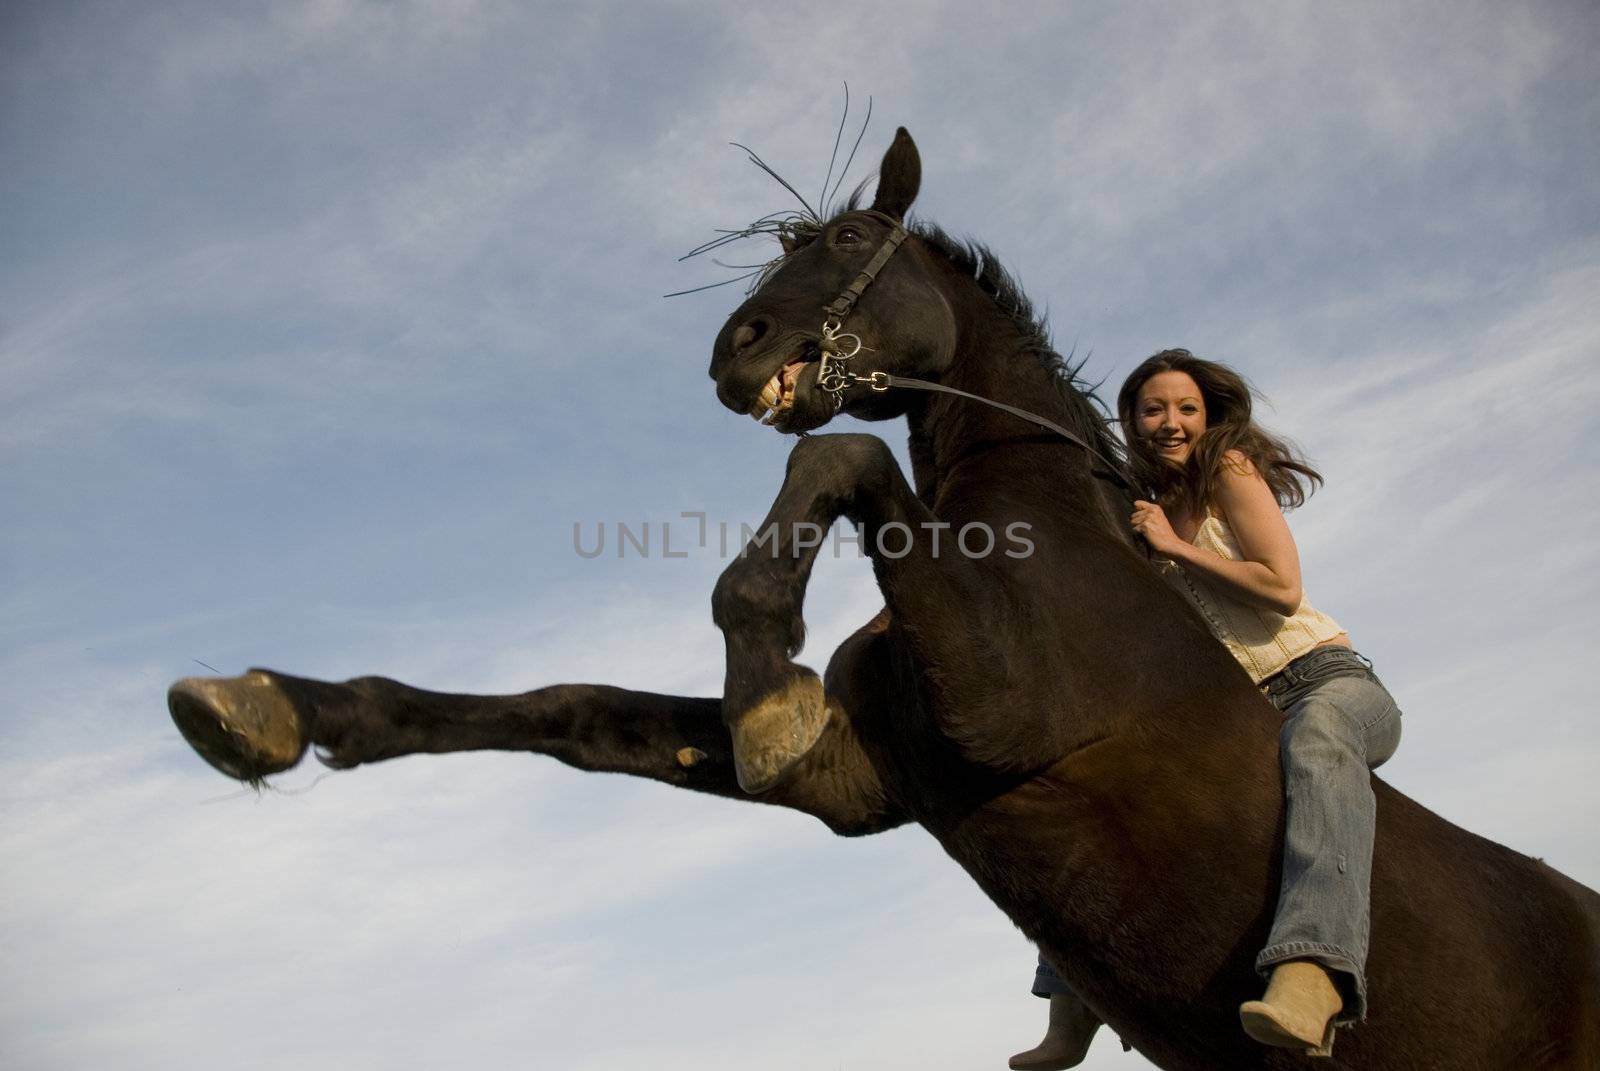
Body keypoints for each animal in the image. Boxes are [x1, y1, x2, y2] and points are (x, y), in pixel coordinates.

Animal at [168, 129, 1593, 1062]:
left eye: (850, 241)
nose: (731, 350)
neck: (1044, 524)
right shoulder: (868, 776)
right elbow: (568, 713)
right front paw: (266, 710)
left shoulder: (999, 717)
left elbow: (841, 458)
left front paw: (763, 663)